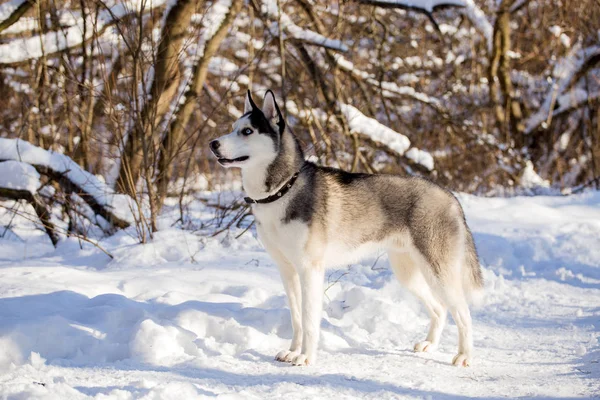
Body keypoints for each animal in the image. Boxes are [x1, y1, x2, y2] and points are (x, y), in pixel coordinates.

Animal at [210, 90, 482, 366]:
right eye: (232, 128)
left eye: (247, 131)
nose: (213, 144)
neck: (283, 189)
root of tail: (450, 196)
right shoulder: (287, 270)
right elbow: (296, 318)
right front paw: (293, 351)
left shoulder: (310, 269)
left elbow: (309, 320)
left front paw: (306, 357)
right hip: (407, 273)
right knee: (440, 308)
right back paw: (430, 344)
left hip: (438, 271)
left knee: (464, 312)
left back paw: (464, 355)